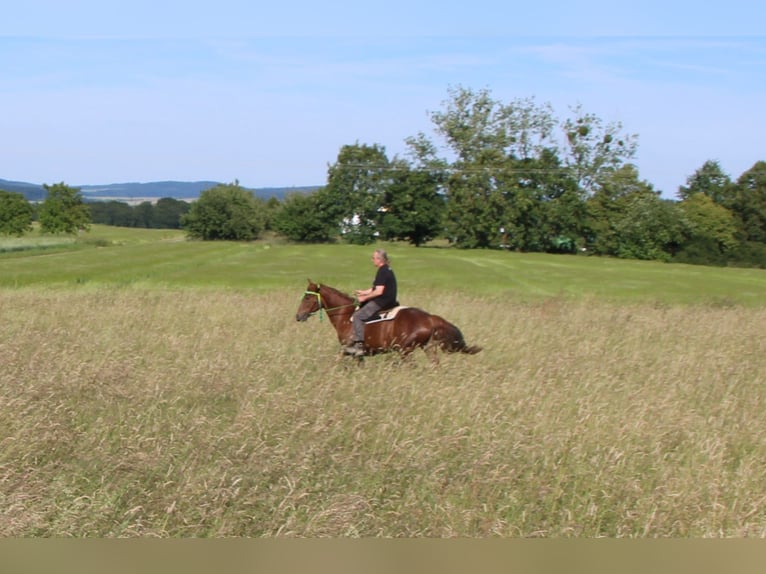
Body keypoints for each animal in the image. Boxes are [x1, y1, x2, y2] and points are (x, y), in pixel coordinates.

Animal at [294, 280, 480, 360]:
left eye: (307, 298)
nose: (298, 316)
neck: (345, 316)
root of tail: (430, 318)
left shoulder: (349, 349)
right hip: (428, 348)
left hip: (405, 350)